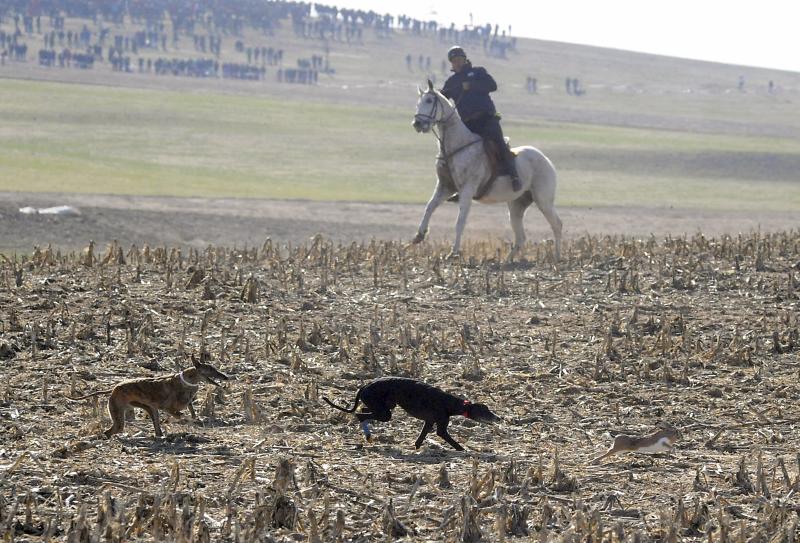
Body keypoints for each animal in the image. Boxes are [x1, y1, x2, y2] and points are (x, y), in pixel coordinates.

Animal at [412, 78, 564, 262]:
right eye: (418, 102)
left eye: (429, 101)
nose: (417, 123)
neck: (457, 146)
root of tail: (546, 160)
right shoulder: (445, 187)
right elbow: (429, 207)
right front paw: (419, 235)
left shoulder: (467, 190)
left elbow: (460, 222)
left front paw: (453, 252)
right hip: (516, 206)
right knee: (521, 237)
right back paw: (507, 261)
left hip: (543, 201)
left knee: (557, 224)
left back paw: (557, 257)